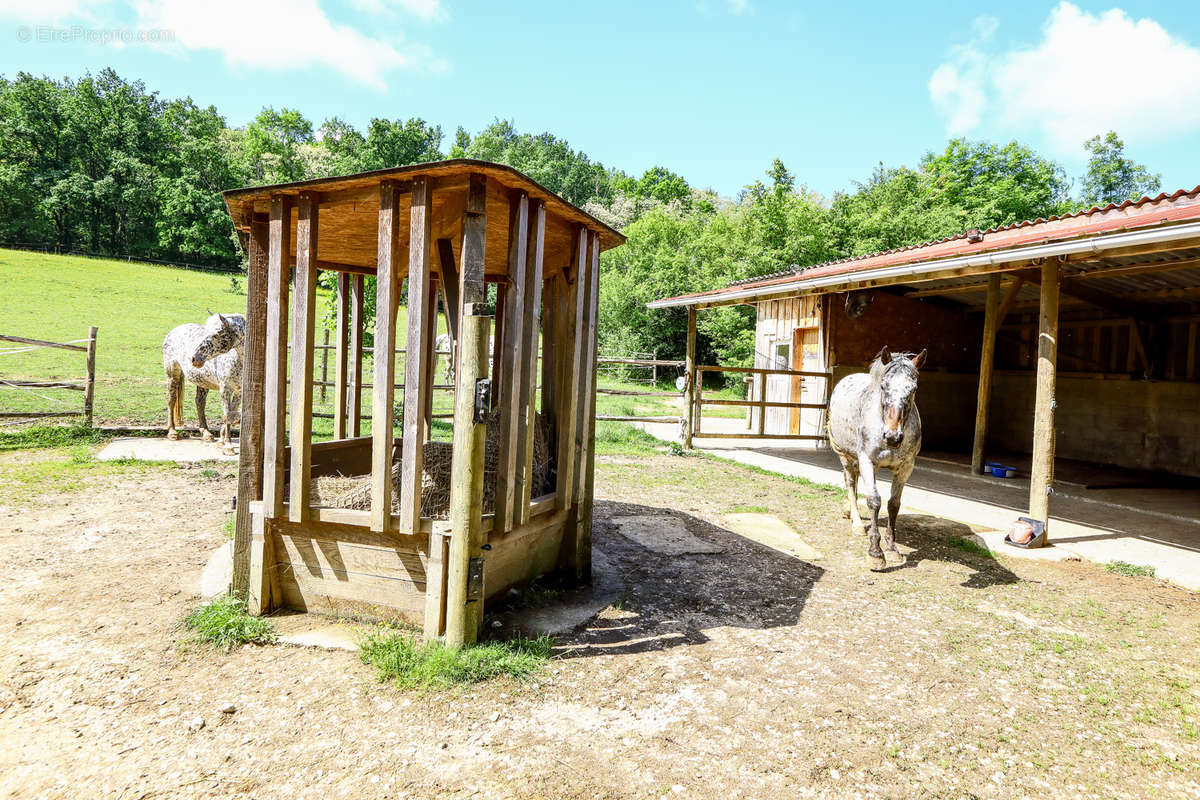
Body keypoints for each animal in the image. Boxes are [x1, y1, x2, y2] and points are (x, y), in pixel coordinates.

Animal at [163, 311, 244, 450]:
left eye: (217, 334)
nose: (194, 358)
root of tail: (173, 331)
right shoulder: (225, 389)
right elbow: (227, 414)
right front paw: (227, 445)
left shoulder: (239, 391)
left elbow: (230, 413)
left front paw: (221, 440)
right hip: (172, 374)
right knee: (171, 399)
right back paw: (172, 432)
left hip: (202, 381)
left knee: (199, 402)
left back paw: (206, 433)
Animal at [825, 347, 926, 573]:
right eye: (883, 386)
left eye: (913, 389)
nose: (892, 437)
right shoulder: (867, 461)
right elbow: (874, 501)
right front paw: (876, 554)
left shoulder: (906, 467)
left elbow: (893, 504)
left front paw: (892, 549)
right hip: (846, 457)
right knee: (850, 484)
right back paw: (856, 522)